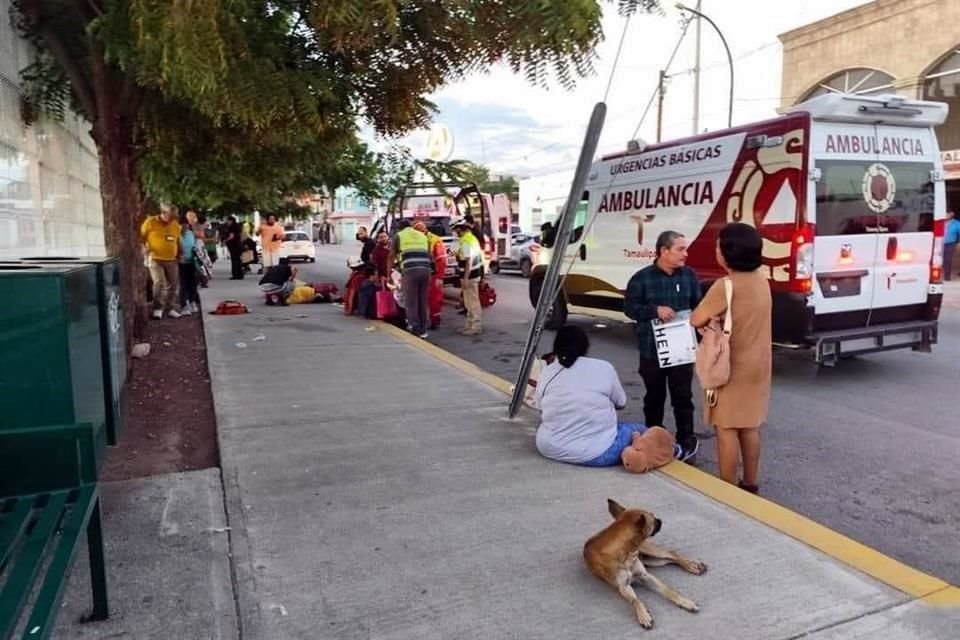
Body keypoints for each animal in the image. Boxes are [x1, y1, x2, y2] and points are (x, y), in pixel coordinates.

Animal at [580, 498, 708, 628]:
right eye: (652, 519)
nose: (660, 520)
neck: (626, 553)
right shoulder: (624, 587)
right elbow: (636, 600)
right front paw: (643, 615)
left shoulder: (645, 576)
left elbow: (669, 591)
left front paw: (686, 602)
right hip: (651, 560)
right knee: (669, 559)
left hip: (650, 552)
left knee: (672, 554)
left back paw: (692, 566)